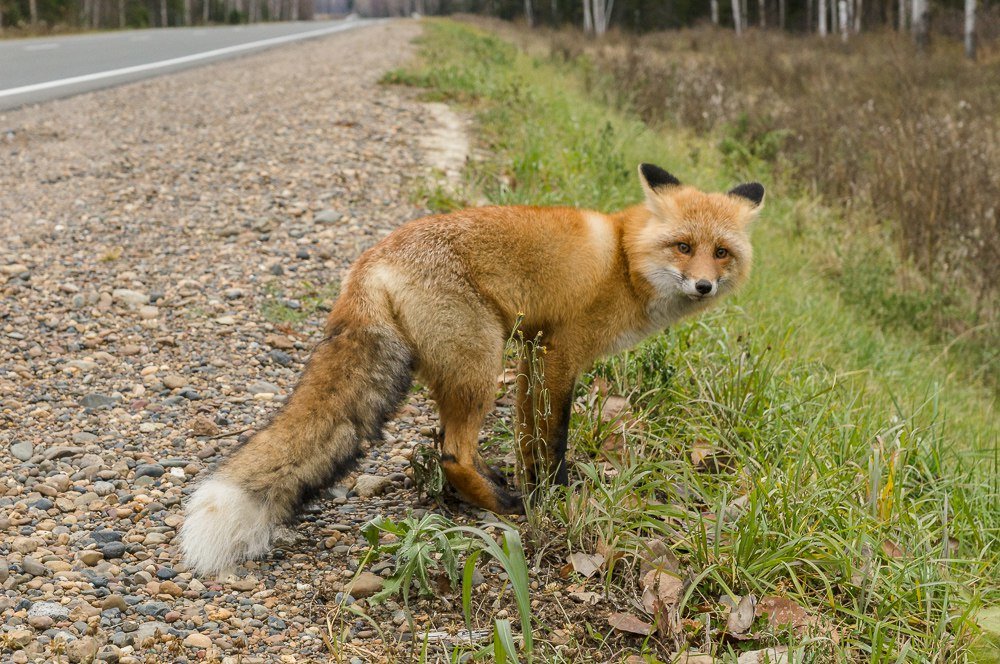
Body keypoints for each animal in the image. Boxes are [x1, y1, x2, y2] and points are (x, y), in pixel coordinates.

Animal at [180, 163, 760, 572]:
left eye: (721, 252)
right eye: (683, 246)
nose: (703, 285)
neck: (623, 260)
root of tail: (370, 260)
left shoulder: (533, 354)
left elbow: (528, 436)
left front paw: (539, 486)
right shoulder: (561, 353)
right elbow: (553, 439)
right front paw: (552, 496)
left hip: (472, 365)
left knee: (453, 442)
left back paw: (492, 484)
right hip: (482, 362)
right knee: (452, 452)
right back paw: (504, 504)